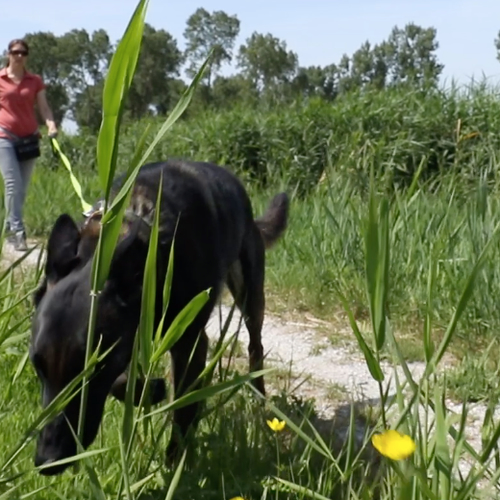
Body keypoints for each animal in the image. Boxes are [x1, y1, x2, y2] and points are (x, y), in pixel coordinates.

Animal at [30, 158, 290, 474]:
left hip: (249, 294)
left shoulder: (189, 345)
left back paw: (258, 396)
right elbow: (126, 381)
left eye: (92, 369)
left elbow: (182, 411)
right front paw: (151, 389)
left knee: (255, 344)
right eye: (38, 366)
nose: (47, 460)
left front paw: (175, 466)